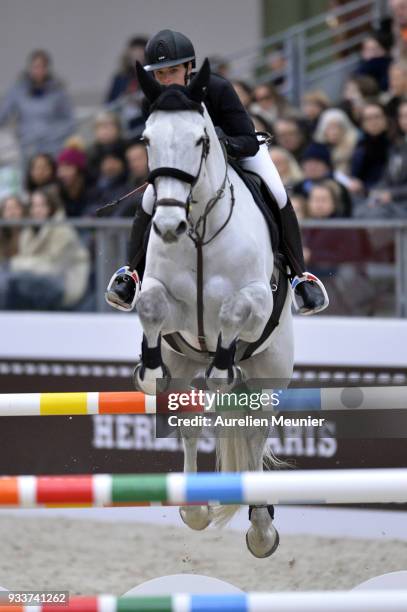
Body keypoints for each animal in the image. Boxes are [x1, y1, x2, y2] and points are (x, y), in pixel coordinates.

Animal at [133, 59, 294, 556]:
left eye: (201, 140)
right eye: (146, 140)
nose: (168, 225)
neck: (200, 227)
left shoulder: (256, 301)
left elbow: (230, 313)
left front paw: (222, 369)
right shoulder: (173, 310)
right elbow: (149, 306)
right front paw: (148, 371)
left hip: (270, 374)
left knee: (257, 426)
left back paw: (262, 530)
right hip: (184, 363)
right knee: (187, 421)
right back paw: (194, 508)